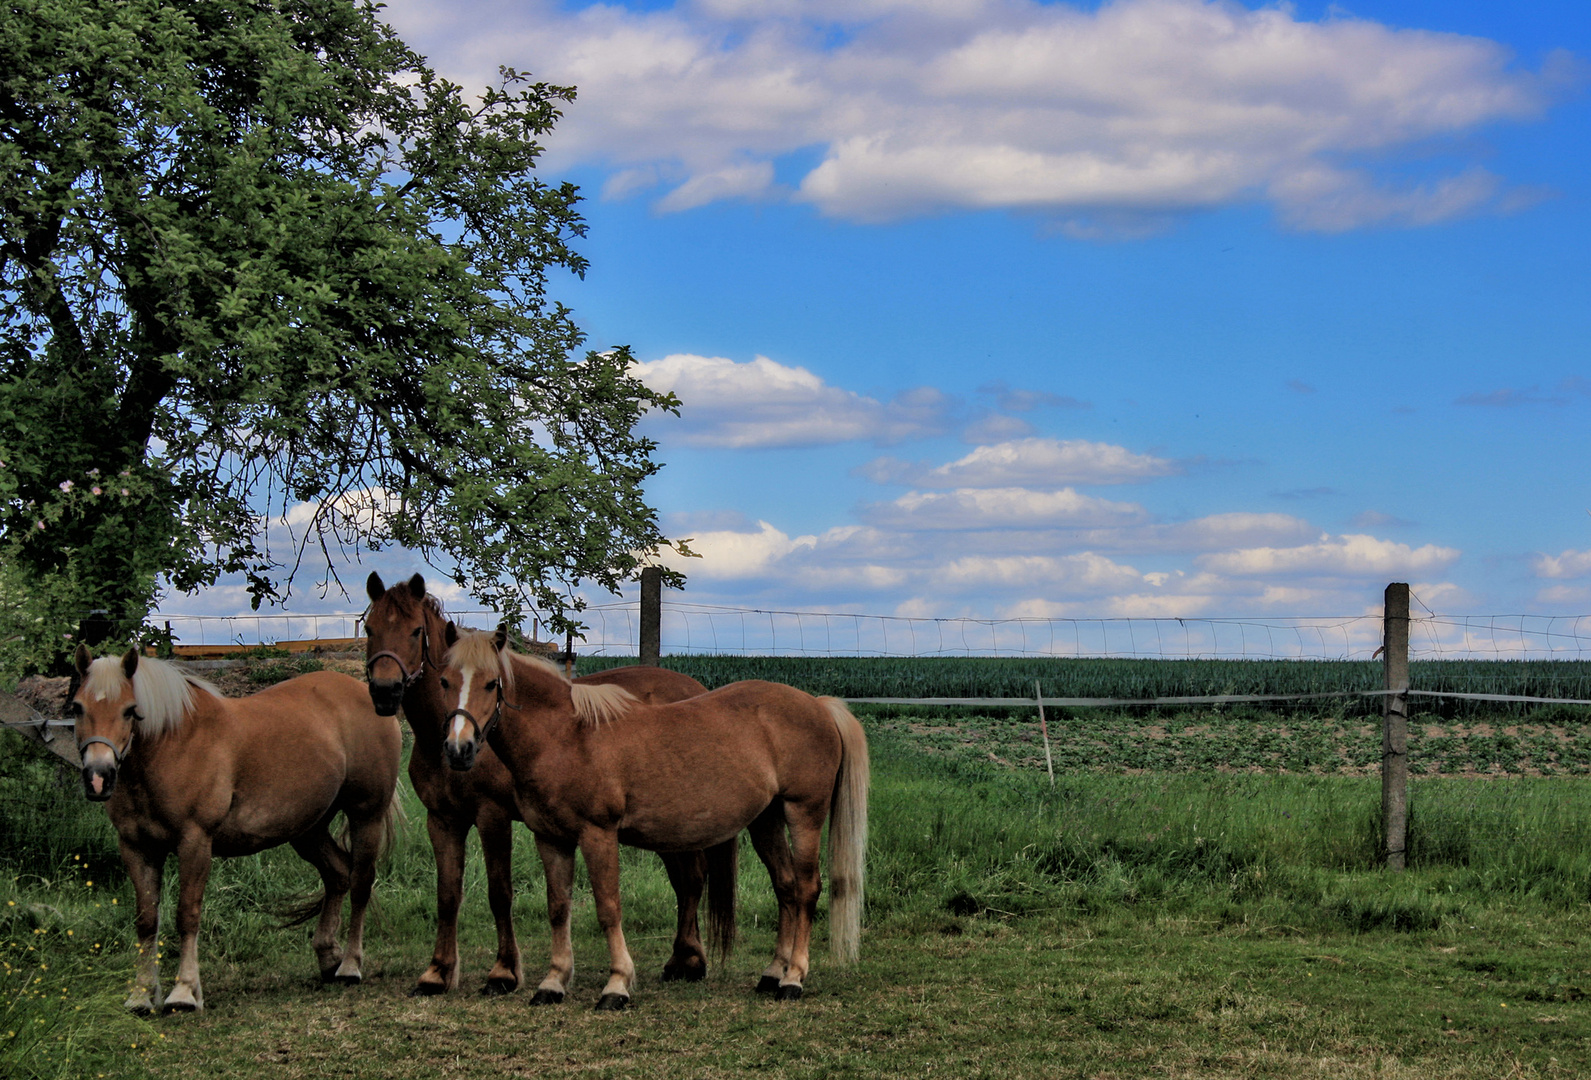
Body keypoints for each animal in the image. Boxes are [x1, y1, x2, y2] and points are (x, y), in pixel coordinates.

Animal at [71, 642, 400, 1011]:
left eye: (130, 710)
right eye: (78, 707)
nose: (98, 777)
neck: (172, 743)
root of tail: (364, 693)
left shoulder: (195, 841)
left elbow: (187, 914)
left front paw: (185, 991)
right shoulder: (136, 847)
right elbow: (146, 920)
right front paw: (141, 994)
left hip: (366, 816)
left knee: (360, 882)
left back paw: (350, 965)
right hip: (309, 829)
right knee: (338, 875)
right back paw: (328, 957)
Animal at [361, 575, 728, 998]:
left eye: (415, 631)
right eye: (370, 628)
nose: (384, 691)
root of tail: (695, 690)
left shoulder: (492, 816)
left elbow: (499, 892)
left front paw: (503, 972)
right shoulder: (442, 819)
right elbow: (448, 894)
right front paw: (438, 972)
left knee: (691, 879)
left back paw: (687, 961)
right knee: (686, 880)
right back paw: (684, 960)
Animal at [435, 620, 871, 1011]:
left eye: (491, 683)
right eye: (443, 681)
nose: (458, 750)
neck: (567, 736)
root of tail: (817, 705)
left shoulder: (598, 834)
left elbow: (608, 908)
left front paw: (617, 986)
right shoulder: (551, 838)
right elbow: (558, 908)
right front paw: (553, 983)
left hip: (804, 813)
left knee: (807, 888)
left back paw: (794, 979)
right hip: (766, 820)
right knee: (786, 887)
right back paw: (772, 974)